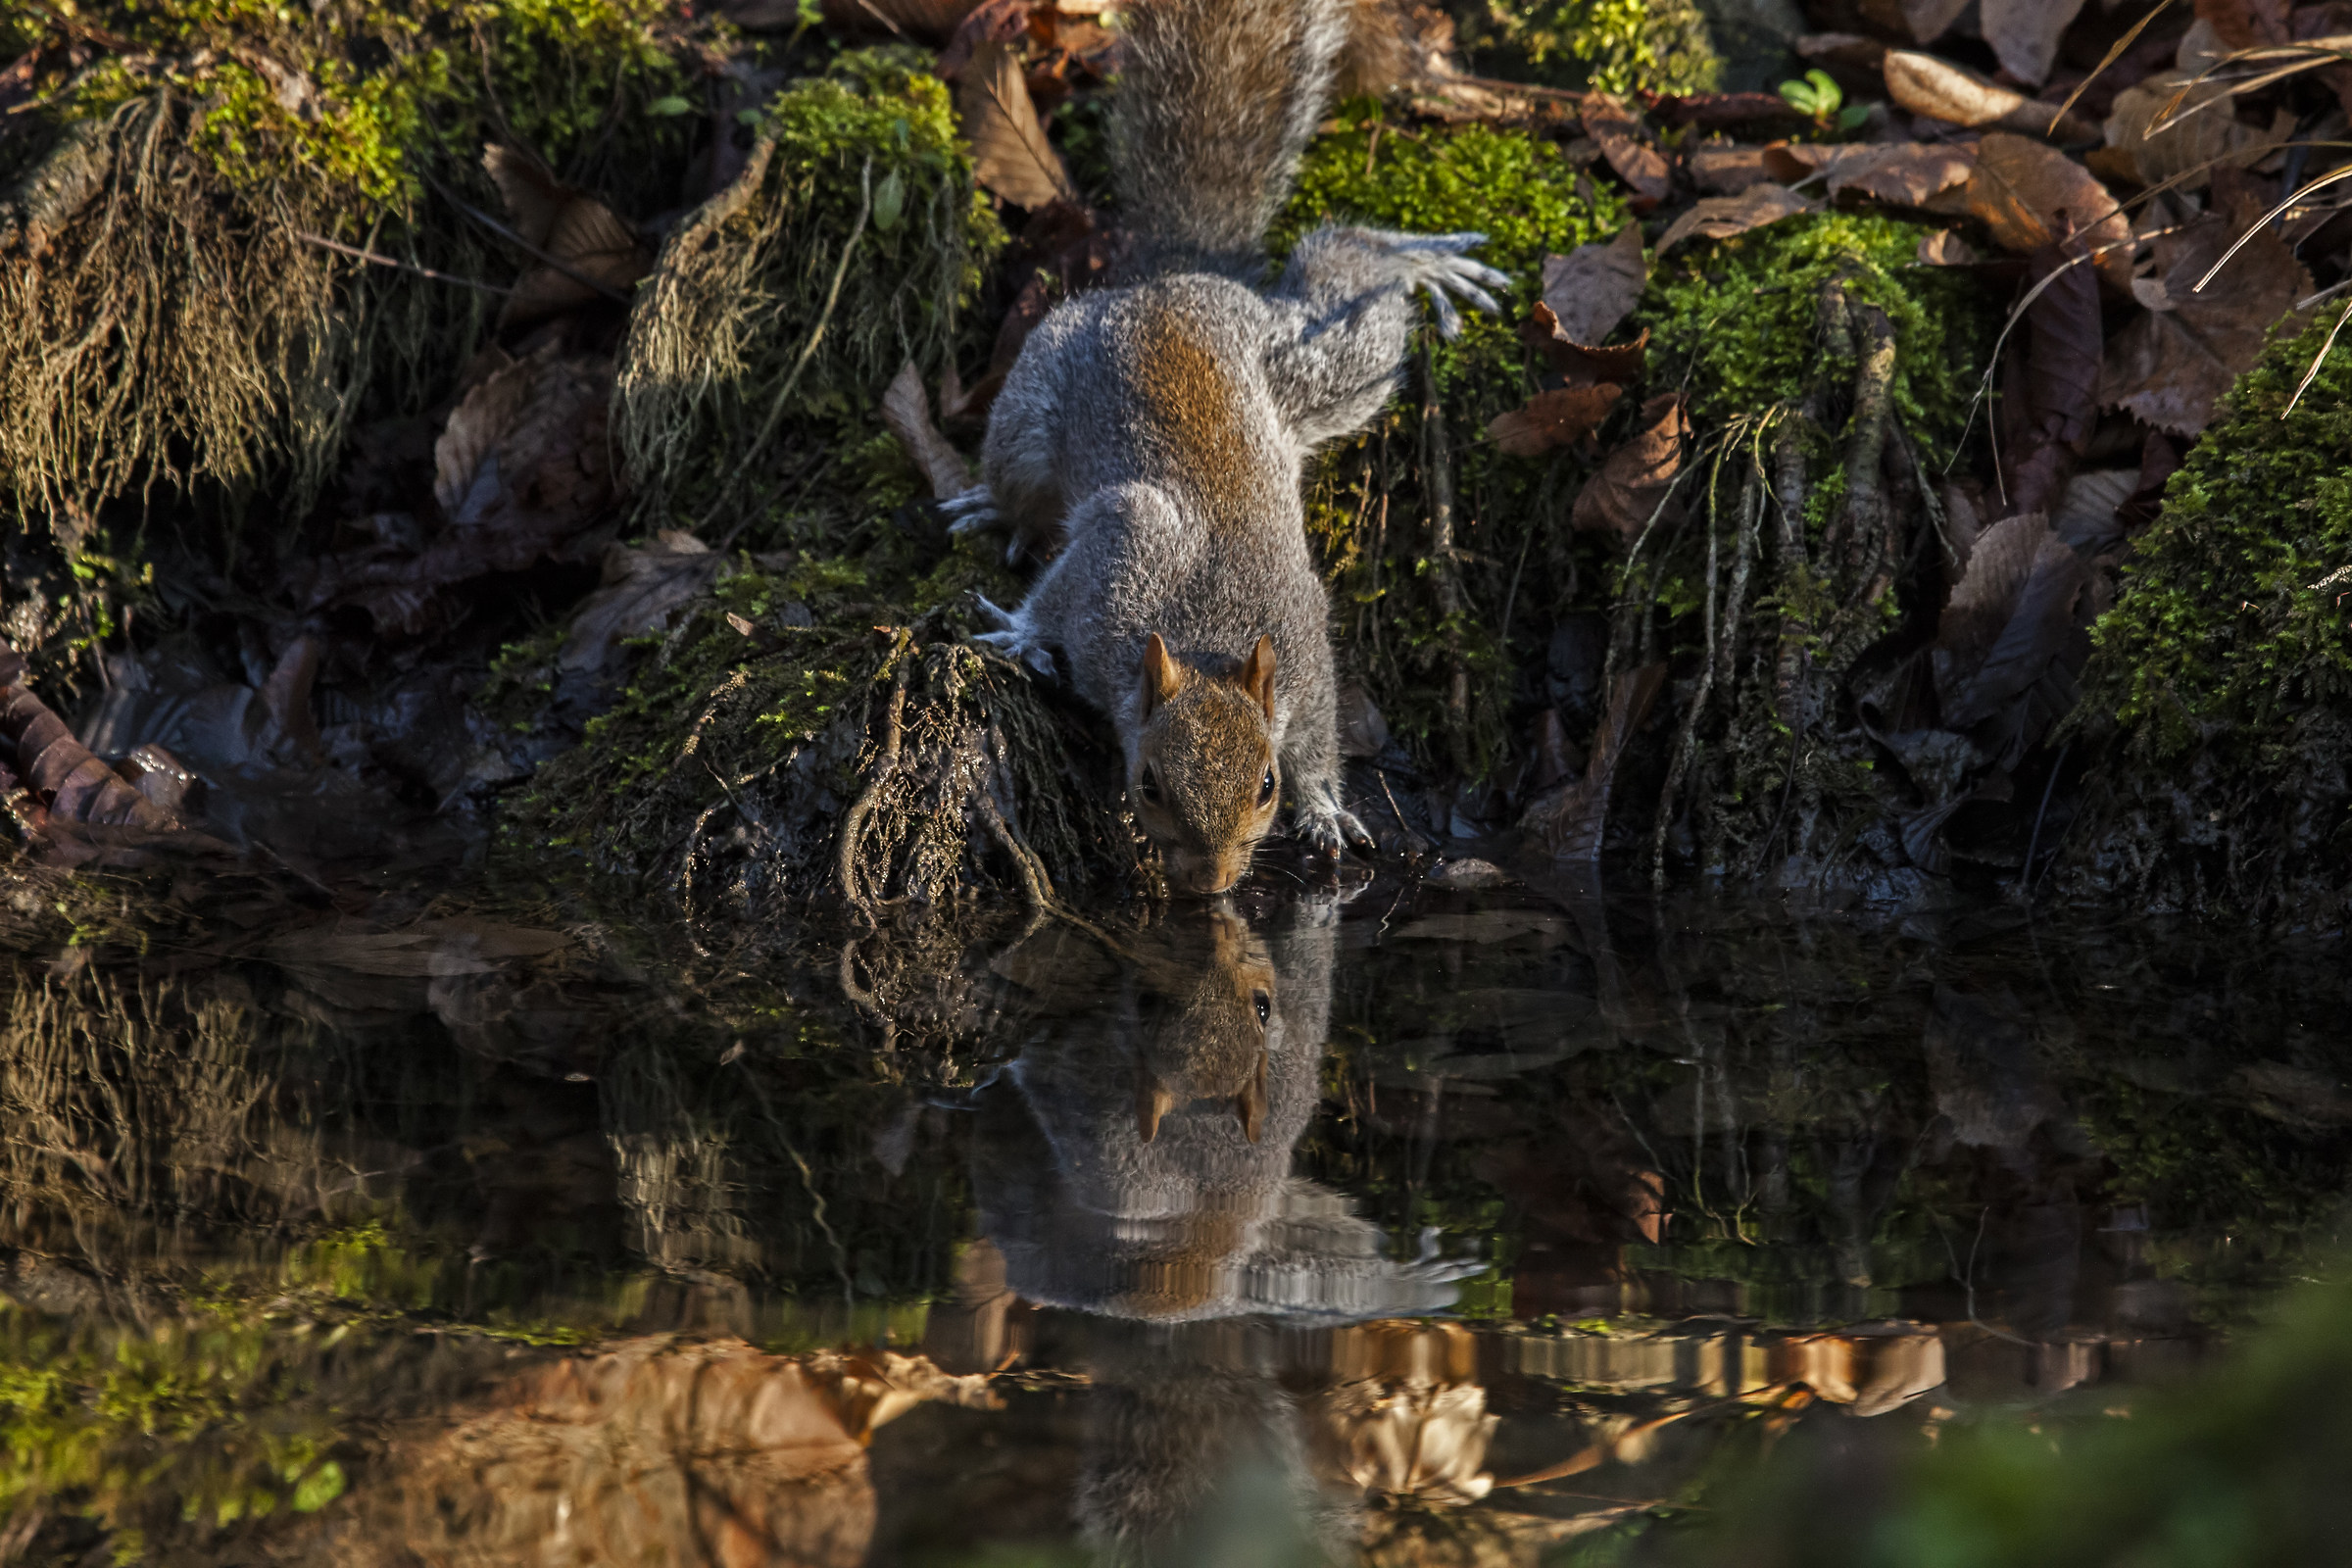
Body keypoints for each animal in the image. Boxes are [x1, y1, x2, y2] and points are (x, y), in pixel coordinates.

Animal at [945, 0, 1505, 895]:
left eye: (1266, 785)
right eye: (1147, 783)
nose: (1209, 885)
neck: (1206, 634)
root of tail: (1173, 281)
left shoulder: (1306, 655)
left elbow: (1319, 735)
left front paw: (1325, 805)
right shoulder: (1116, 556)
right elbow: (1059, 591)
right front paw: (1022, 634)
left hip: (1319, 371)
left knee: (1351, 273)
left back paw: (1417, 263)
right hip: (1036, 400)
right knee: (1016, 477)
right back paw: (993, 506)